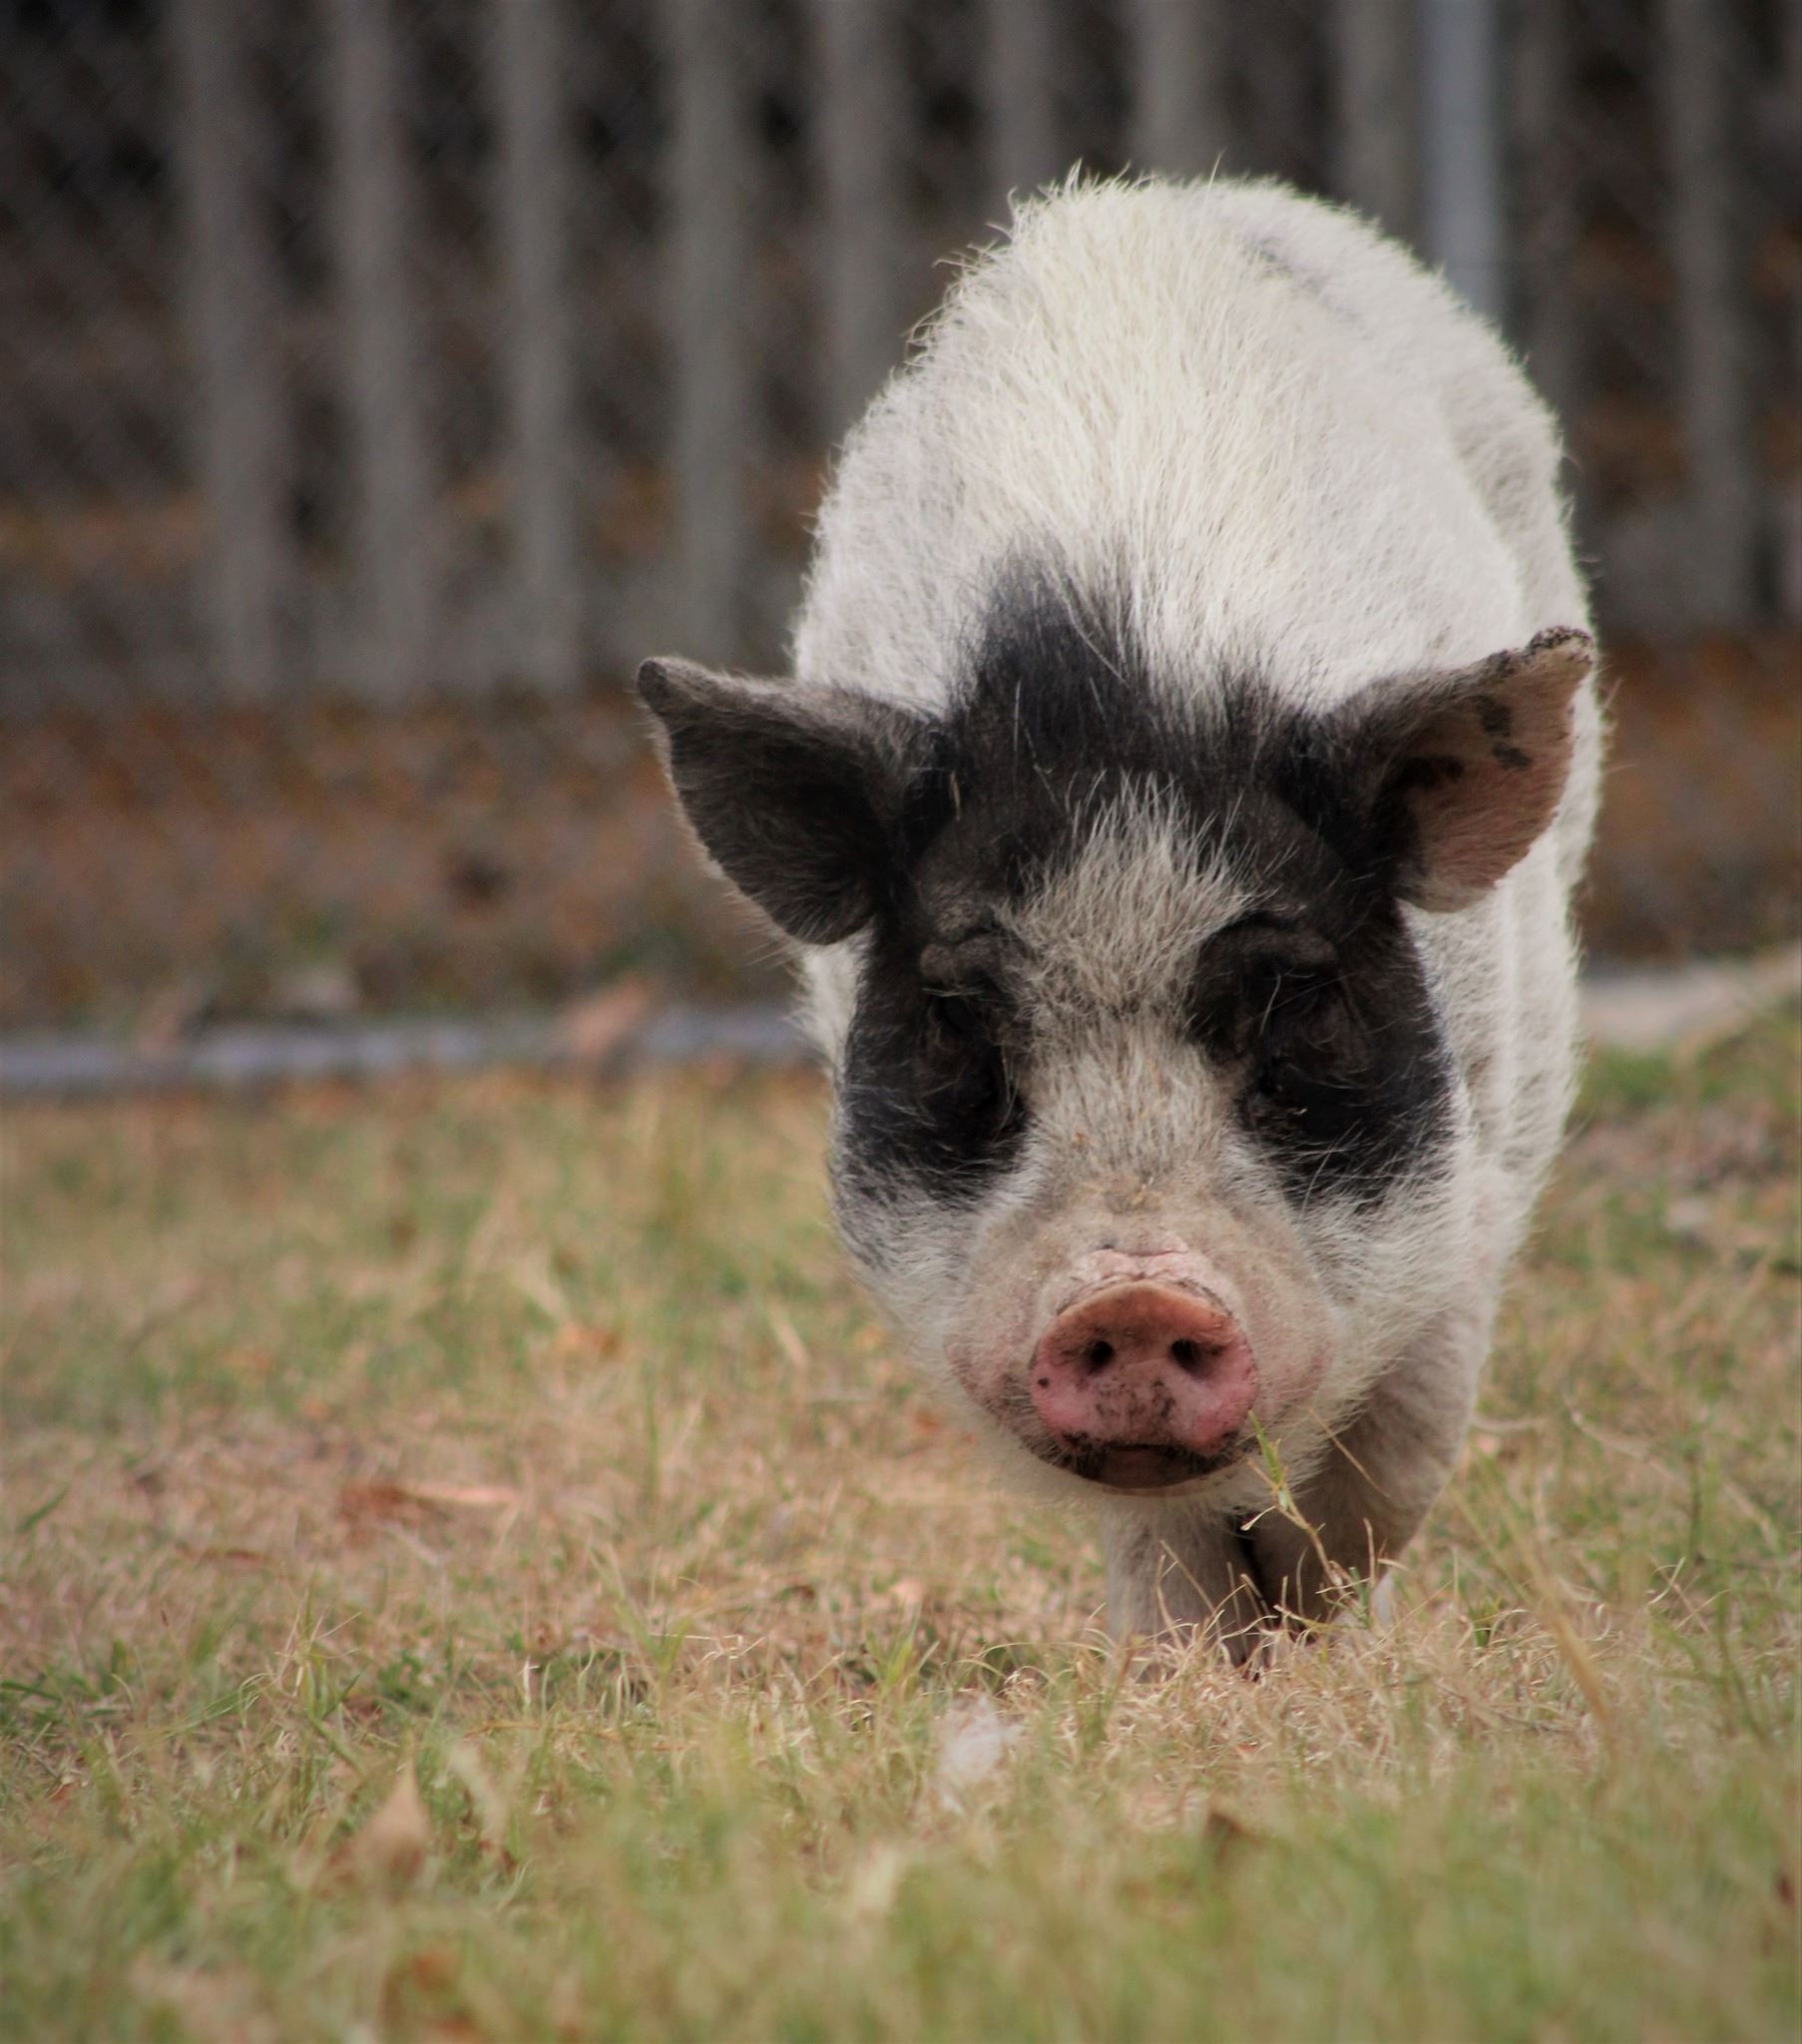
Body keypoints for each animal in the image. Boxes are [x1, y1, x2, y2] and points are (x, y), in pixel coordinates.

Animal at [638, 175, 1602, 1661]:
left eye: (1298, 1007)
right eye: (957, 1024)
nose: (1134, 1296)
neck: (1126, 670)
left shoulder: (1489, 1134)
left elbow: (1395, 1449)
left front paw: (1320, 1633)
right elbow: (1161, 1534)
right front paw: (1191, 1668)